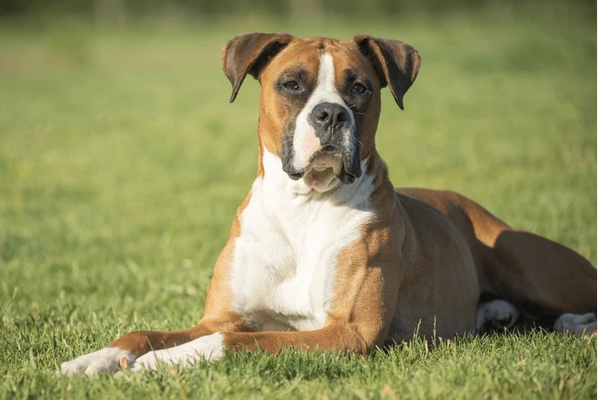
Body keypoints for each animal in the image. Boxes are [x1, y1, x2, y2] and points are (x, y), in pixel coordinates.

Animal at [58, 33, 596, 376]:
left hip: (530, 265)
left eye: (360, 87)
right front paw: (97, 359)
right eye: (291, 84)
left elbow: (236, 342)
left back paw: (575, 325)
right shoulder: (220, 316)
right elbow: (144, 332)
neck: (304, 205)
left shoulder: (345, 333)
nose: (330, 113)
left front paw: (157, 364)